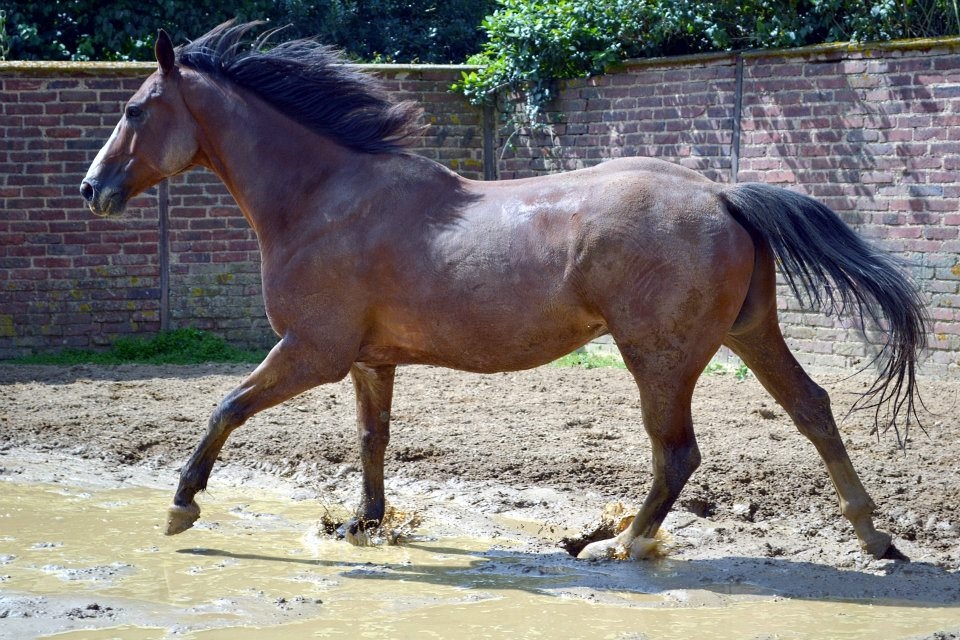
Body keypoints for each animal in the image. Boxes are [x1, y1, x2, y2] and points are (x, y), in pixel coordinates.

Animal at [84, 20, 928, 560]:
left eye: (134, 109)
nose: (93, 189)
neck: (323, 197)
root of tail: (722, 194)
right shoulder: (369, 360)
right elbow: (371, 440)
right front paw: (363, 523)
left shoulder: (310, 351)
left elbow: (225, 407)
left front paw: (182, 506)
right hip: (749, 333)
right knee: (813, 409)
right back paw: (875, 537)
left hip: (660, 356)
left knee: (678, 454)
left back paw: (620, 541)